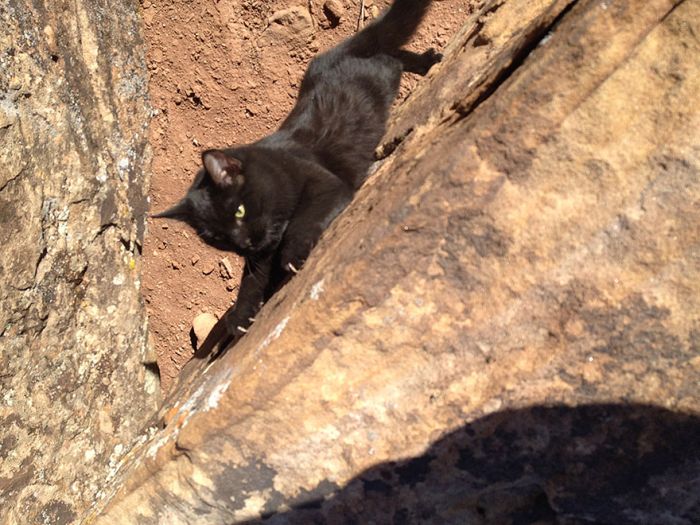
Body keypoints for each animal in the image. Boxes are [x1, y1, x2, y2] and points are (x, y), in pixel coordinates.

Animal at [154, 0, 438, 360]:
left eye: (239, 211)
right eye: (218, 238)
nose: (244, 243)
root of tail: (329, 56)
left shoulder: (325, 184)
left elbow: (301, 222)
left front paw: (292, 255)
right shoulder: (261, 252)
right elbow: (252, 279)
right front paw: (241, 316)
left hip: (379, 78)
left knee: (392, 56)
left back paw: (431, 61)